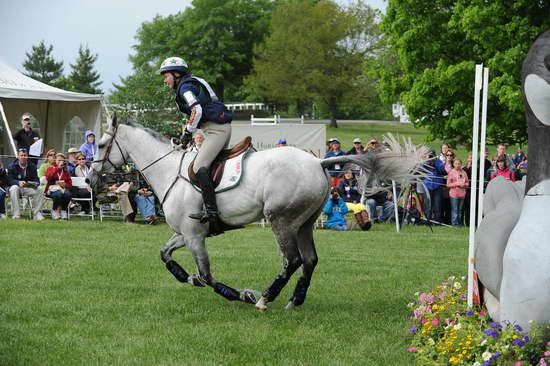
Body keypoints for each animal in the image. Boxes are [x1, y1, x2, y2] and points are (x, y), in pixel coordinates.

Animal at [91, 118, 426, 312]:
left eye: (104, 143)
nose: (93, 179)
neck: (168, 170)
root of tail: (316, 162)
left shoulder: (195, 235)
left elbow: (208, 275)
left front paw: (239, 294)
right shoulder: (184, 234)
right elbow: (166, 255)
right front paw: (187, 278)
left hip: (281, 220)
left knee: (292, 260)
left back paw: (265, 298)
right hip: (304, 223)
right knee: (310, 260)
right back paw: (294, 300)